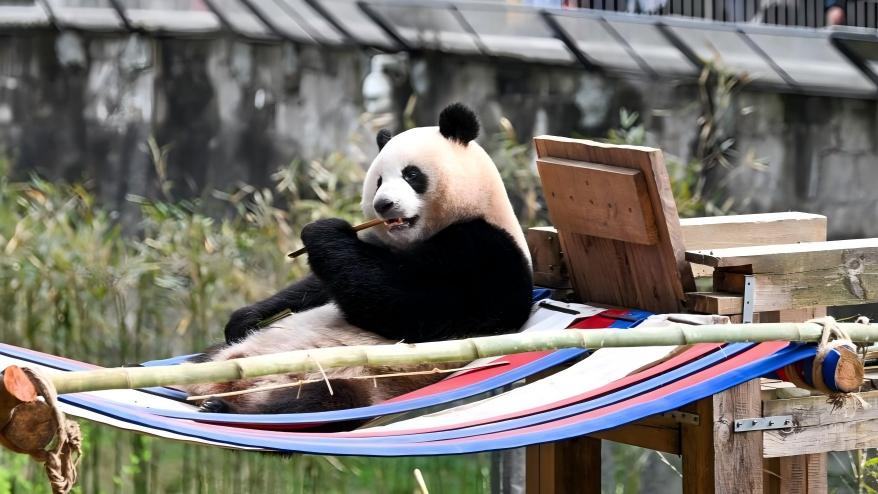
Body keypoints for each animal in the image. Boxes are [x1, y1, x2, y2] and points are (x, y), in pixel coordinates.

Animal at [183, 103, 534, 414]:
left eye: (411, 174)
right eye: (378, 180)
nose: (383, 205)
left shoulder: (487, 255)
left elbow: (412, 304)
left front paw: (321, 231)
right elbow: (318, 286)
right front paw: (243, 318)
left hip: (353, 379)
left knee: (321, 398)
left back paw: (226, 407)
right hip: (224, 355)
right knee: (210, 356)